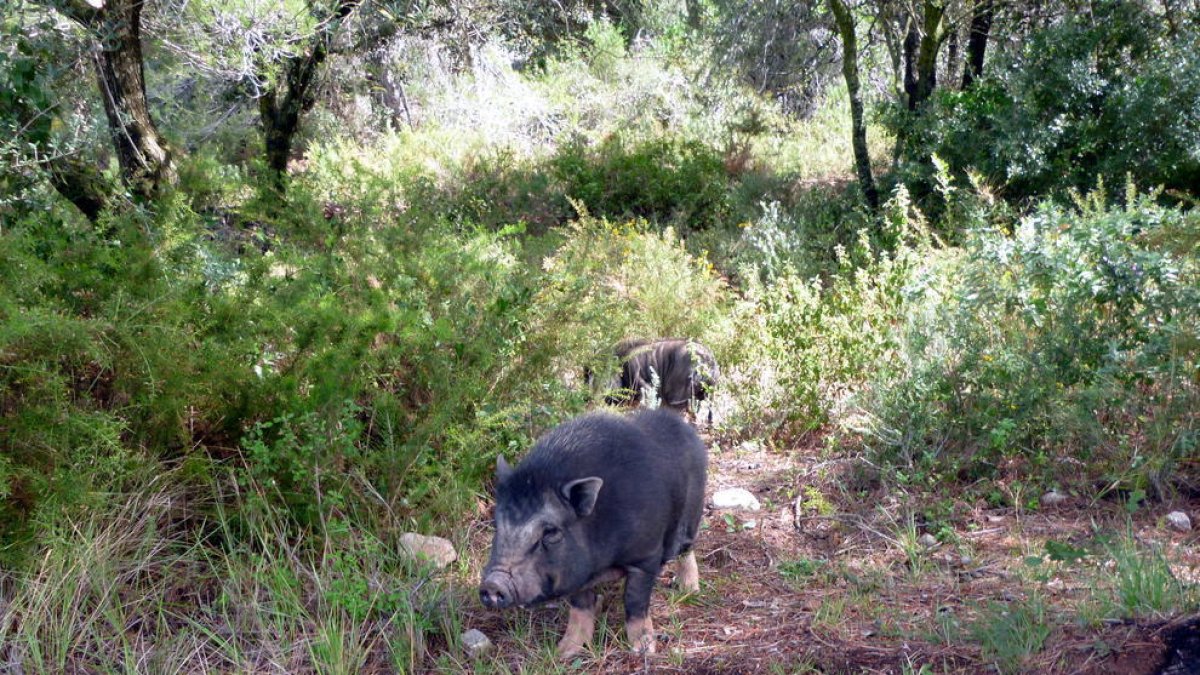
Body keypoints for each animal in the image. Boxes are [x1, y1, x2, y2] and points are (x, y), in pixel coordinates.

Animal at [477, 408, 705, 653]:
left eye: (550, 532)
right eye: (497, 525)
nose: (492, 584)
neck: (601, 565)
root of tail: (684, 426)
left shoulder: (646, 556)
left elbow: (635, 603)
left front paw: (643, 650)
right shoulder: (575, 574)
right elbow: (580, 609)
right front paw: (564, 651)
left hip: (691, 515)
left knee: (686, 550)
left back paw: (689, 590)